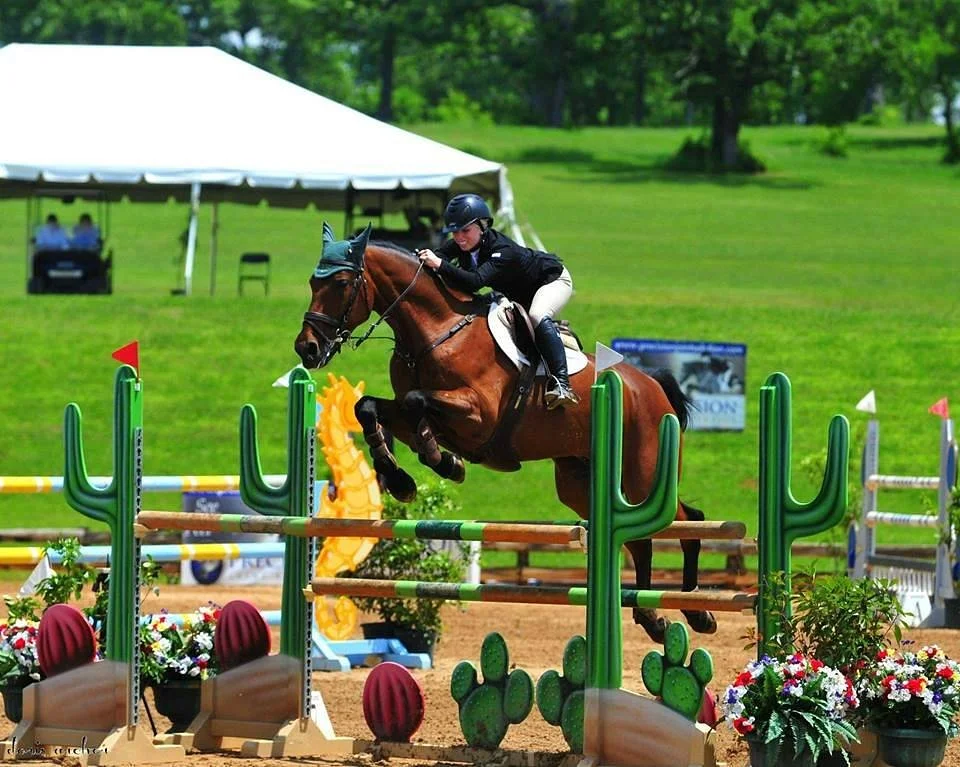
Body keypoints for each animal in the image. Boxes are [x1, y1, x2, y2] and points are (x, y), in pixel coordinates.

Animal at [293, 224, 715, 643]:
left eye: (342, 283)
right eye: (314, 282)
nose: (307, 349)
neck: (439, 329)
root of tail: (652, 385)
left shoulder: (478, 415)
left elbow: (417, 403)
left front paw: (445, 463)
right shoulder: (410, 409)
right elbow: (369, 407)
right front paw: (401, 479)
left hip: (641, 475)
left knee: (687, 520)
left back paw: (698, 612)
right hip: (579, 482)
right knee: (639, 539)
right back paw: (652, 618)